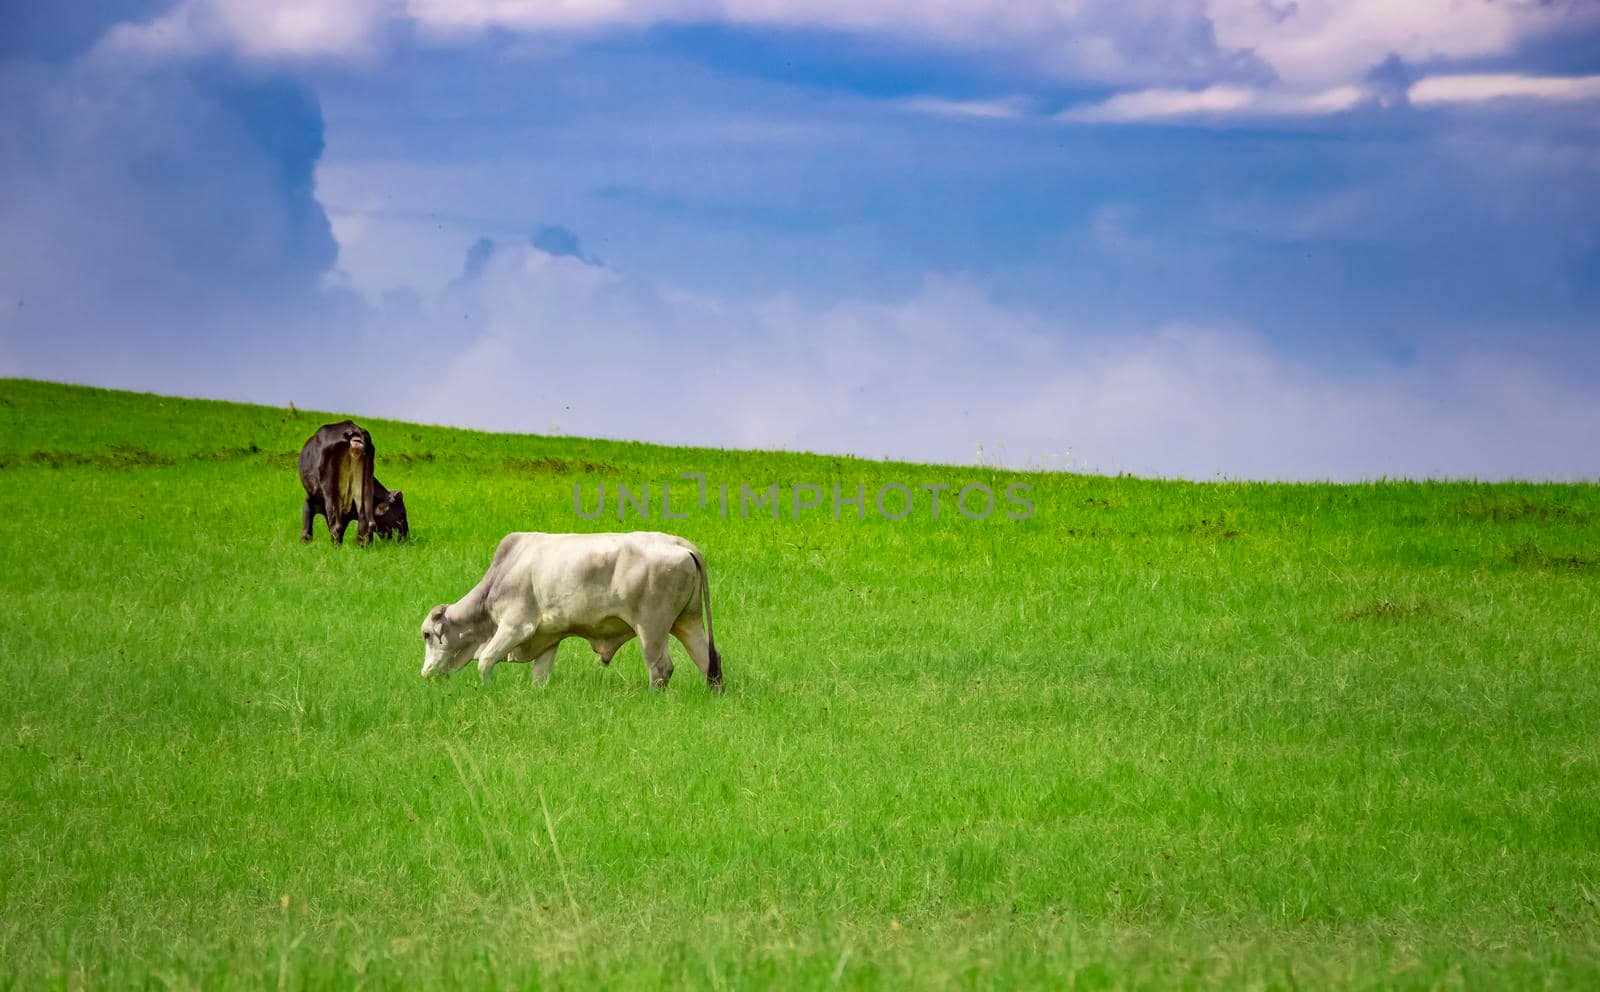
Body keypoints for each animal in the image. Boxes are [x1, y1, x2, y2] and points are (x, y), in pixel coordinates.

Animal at [425, 534, 726, 691]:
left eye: (427, 635)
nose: (425, 674)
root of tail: (682, 545)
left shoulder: (515, 627)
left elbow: (486, 661)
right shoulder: (548, 637)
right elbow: (540, 676)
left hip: (651, 627)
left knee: (661, 667)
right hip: (687, 621)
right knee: (708, 660)